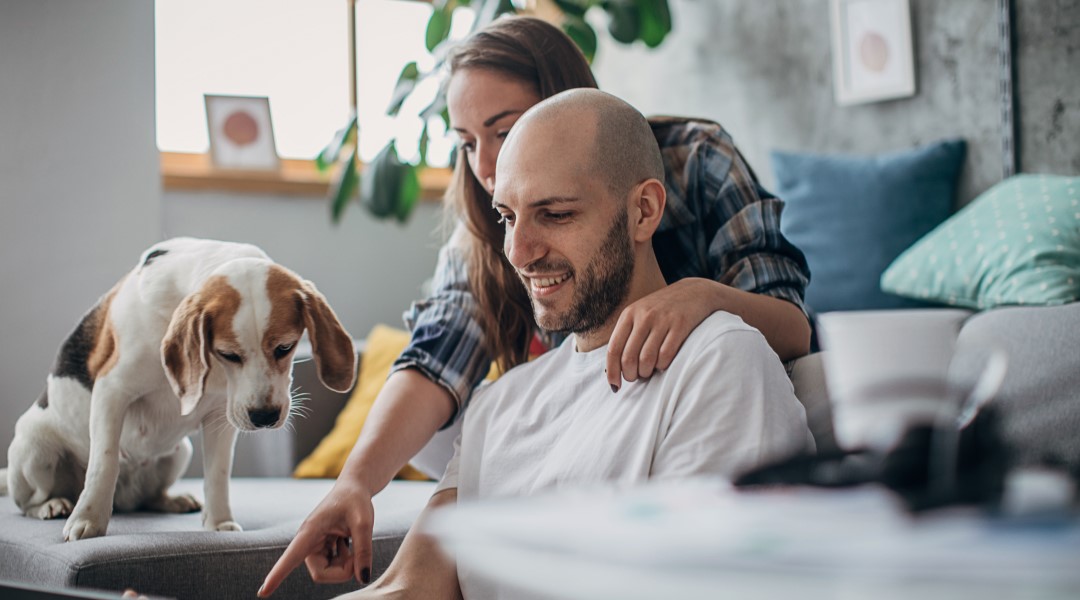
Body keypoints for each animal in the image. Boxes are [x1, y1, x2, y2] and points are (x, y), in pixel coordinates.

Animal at [0, 236, 358, 541]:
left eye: (285, 347)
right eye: (228, 354)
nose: (264, 417)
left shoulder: (220, 416)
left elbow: (217, 474)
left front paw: (219, 522)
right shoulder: (111, 390)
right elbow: (105, 462)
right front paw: (87, 520)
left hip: (179, 451)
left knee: (147, 499)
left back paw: (170, 500)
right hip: (34, 448)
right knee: (28, 502)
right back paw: (51, 505)